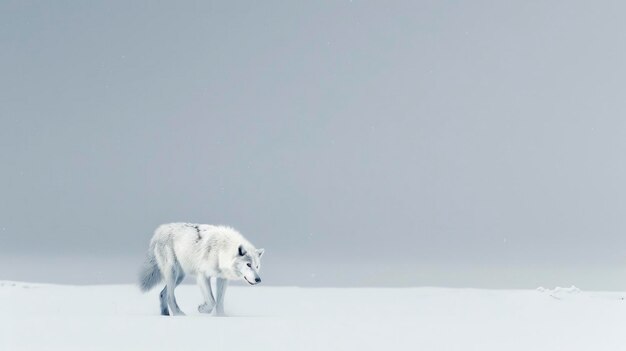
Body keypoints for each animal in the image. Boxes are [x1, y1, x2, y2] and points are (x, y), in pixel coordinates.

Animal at [136, 224, 264, 318]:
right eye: (248, 265)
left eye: (257, 266)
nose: (258, 279)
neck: (221, 250)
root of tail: (159, 230)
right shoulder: (202, 276)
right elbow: (212, 301)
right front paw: (202, 309)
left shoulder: (222, 278)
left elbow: (219, 302)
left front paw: (221, 317)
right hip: (172, 272)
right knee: (169, 296)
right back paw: (179, 314)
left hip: (180, 277)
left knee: (162, 294)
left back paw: (165, 315)